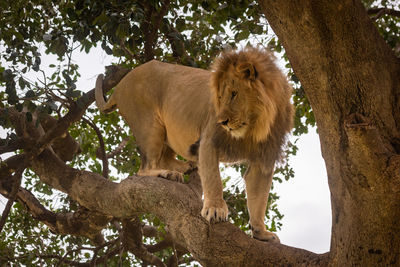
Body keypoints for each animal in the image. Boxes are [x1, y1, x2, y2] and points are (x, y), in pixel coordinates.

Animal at [95, 46, 292, 243]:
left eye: (234, 94)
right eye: (220, 97)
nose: (222, 122)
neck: (254, 126)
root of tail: (120, 85)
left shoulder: (264, 159)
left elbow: (259, 198)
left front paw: (261, 232)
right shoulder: (209, 140)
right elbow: (213, 179)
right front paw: (215, 209)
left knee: (164, 158)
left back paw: (187, 166)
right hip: (149, 125)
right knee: (144, 168)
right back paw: (168, 174)